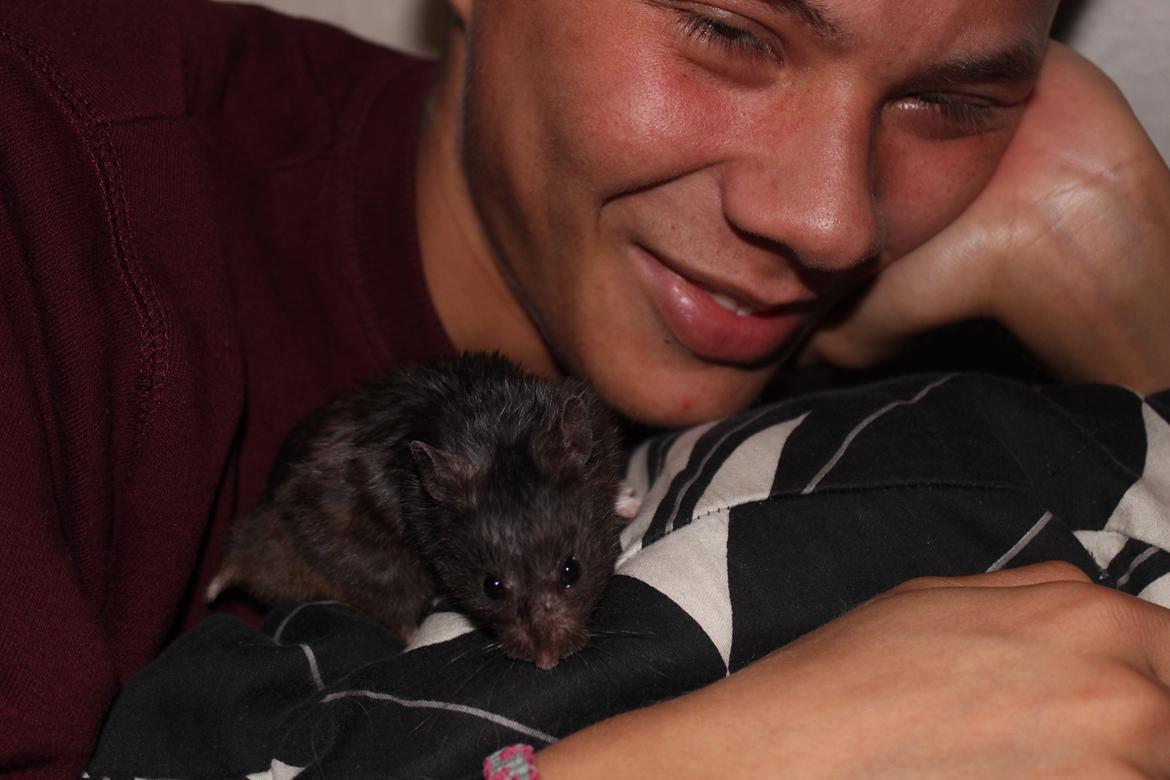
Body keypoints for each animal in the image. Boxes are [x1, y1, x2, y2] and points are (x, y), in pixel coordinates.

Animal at [208, 352, 637, 670]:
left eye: (571, 570)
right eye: (492, 586)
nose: (547, 663)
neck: (498, 428)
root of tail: (246, 549)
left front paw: (627, 498)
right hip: (361, 556)